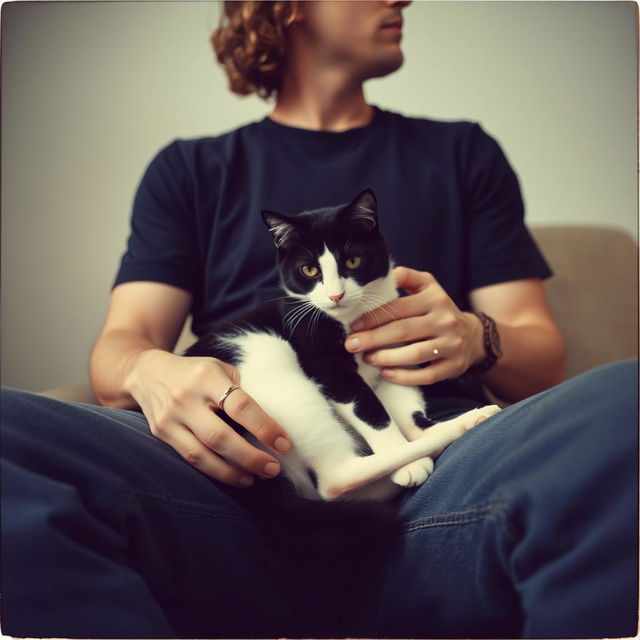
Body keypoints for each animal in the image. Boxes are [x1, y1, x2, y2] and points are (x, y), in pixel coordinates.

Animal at [185, 188, 500, 502]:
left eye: (352, 262)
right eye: (309, 270)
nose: (336, 295)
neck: (349, 319)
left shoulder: (392, 355)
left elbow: (404, 406)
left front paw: (420, 436)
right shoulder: (326, 364)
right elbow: (371, 411)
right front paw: (408, 462)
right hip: (271, 367)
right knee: (335, 481)